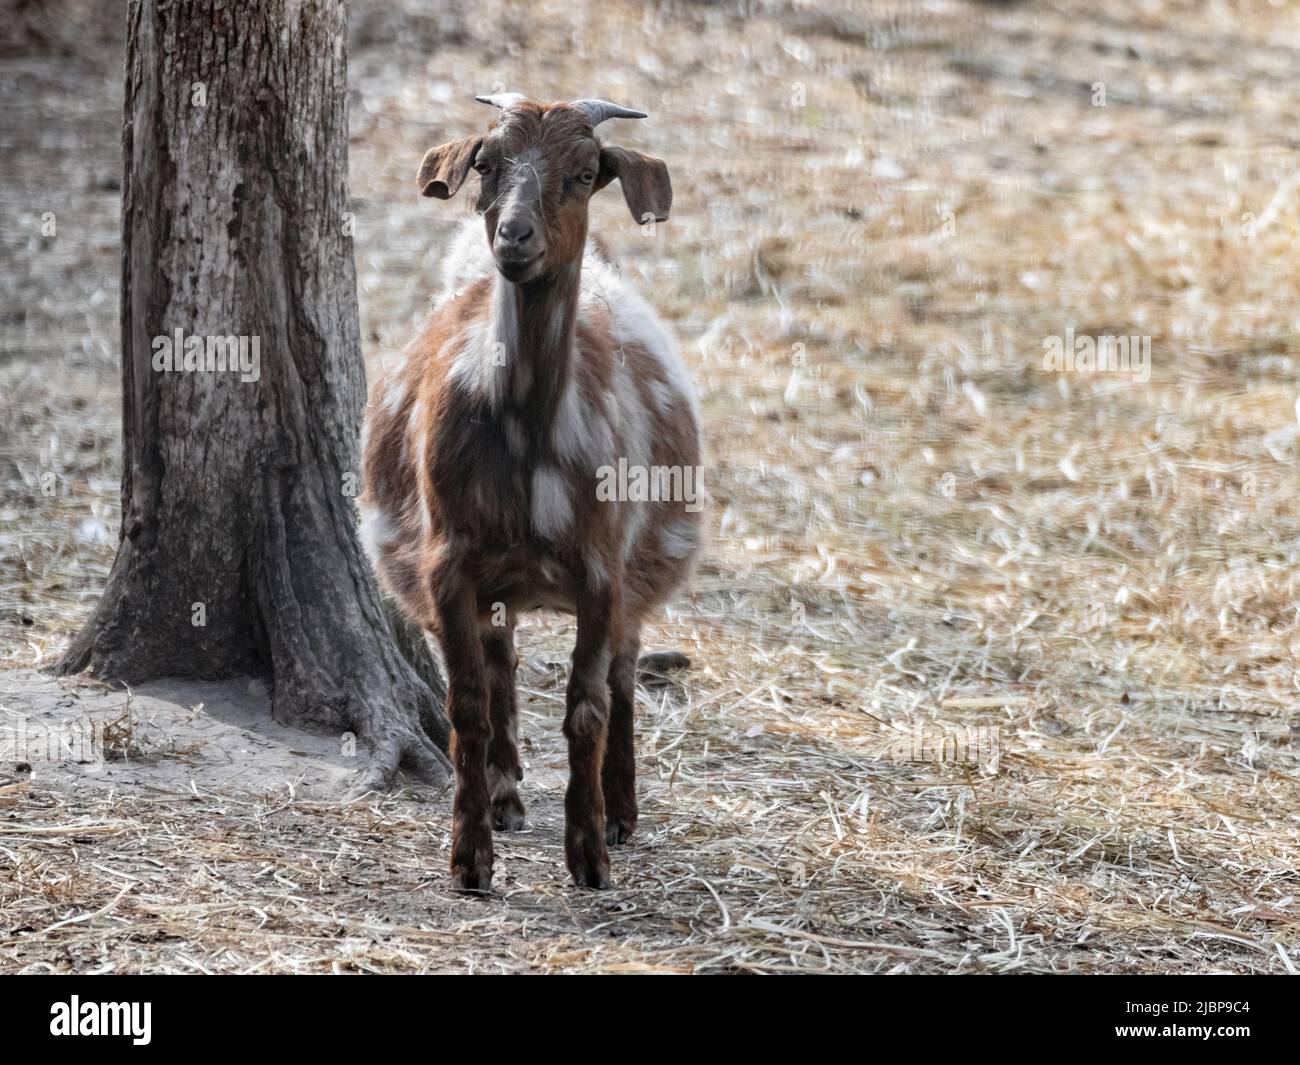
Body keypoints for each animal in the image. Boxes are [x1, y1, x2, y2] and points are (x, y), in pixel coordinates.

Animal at [361, 95, 707, 889]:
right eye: (487, 162)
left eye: (584, 173)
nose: (514, 236)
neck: (525, 426)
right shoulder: (449, 562)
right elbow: (469, 706)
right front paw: (471, 853)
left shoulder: (602, 569)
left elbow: (588, 704)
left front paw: (589, 854)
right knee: (504, 666)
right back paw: (507, 794)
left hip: (638, 565)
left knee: (621, 673)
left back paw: (621, 810)